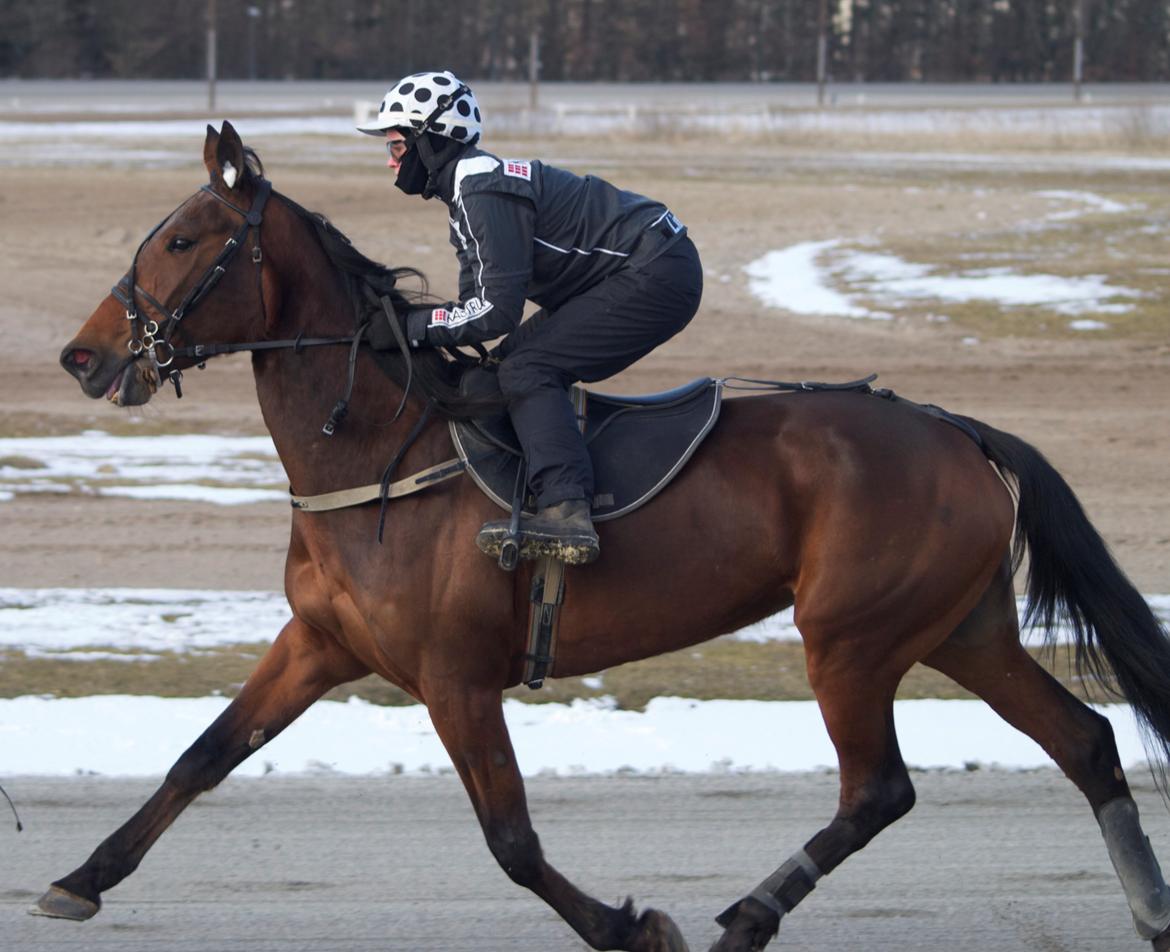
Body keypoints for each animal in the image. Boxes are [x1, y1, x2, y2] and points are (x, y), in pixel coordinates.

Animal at [41, 121, 1170, 952]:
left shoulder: (455, 675)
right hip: (959, 628)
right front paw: (78, 878)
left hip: (850, 637)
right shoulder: (319, 645)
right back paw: (1150, 910)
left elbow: (510, 839)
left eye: (183, 240)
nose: (83, 356)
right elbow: (201, 757)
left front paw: (634, 926)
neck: (377, 448)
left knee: (879, 789)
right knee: (1084, 740)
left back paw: (746, 917)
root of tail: (954, 426)